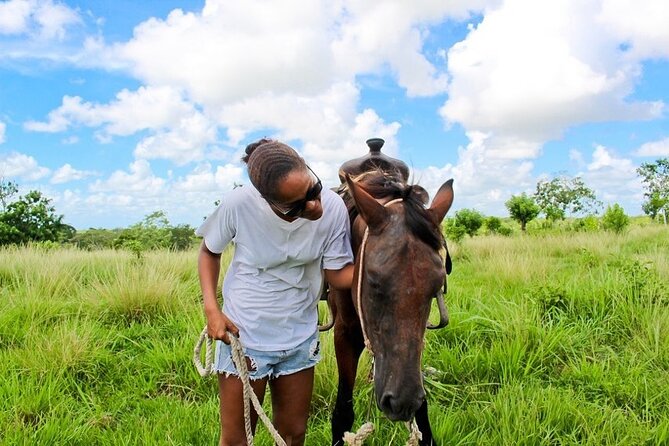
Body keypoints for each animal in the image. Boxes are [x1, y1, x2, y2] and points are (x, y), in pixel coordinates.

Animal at [328, 169, 454, 445]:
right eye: (374, 282)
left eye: (436, 285)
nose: (402, 402)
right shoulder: (344, 333)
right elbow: (342, 413)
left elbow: (423, 413)